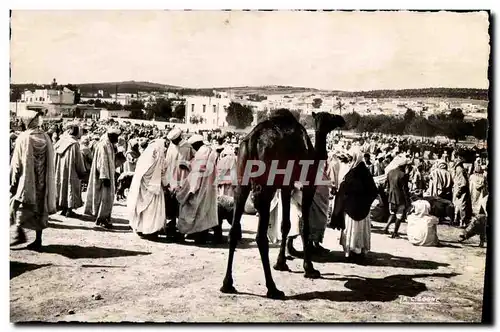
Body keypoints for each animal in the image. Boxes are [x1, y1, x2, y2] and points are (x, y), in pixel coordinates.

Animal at [221, 109, 346, 298]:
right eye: (331, 116)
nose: (341, 119)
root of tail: (251, 141)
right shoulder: (307, 184)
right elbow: (304, 226)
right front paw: (310, 269)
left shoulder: (286, 185)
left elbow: (285, 224)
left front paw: (281, 263)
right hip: (266, 185)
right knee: (260, 236)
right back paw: (272, 288)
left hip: (242, 181)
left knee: (235, 229)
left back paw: (227, 284)